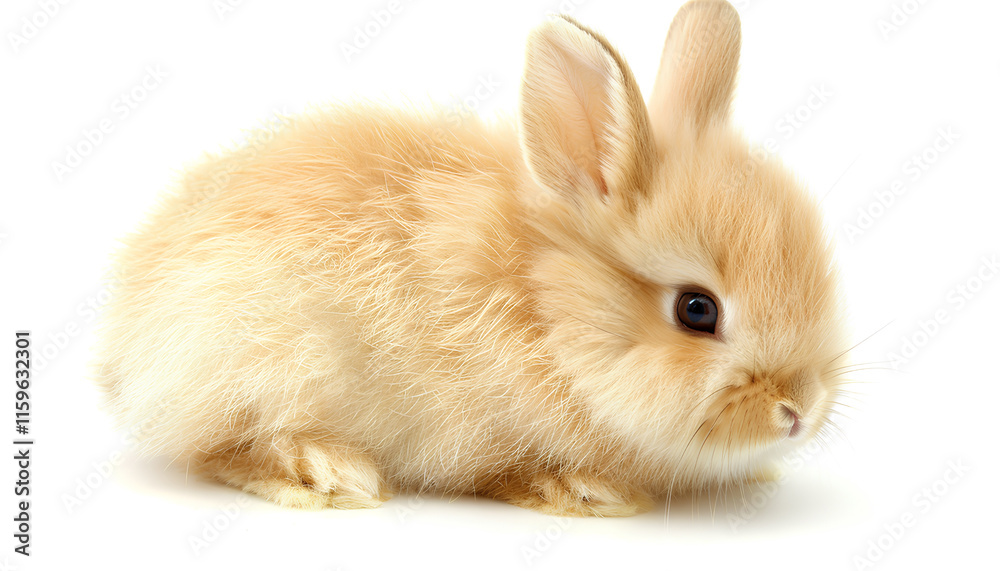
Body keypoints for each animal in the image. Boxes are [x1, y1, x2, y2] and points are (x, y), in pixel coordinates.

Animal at [93, 0, 849, 517]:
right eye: (697, 309)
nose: (799, 409)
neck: (546, 310)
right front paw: (581, 490)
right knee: (222, 447)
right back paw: (326, 472)